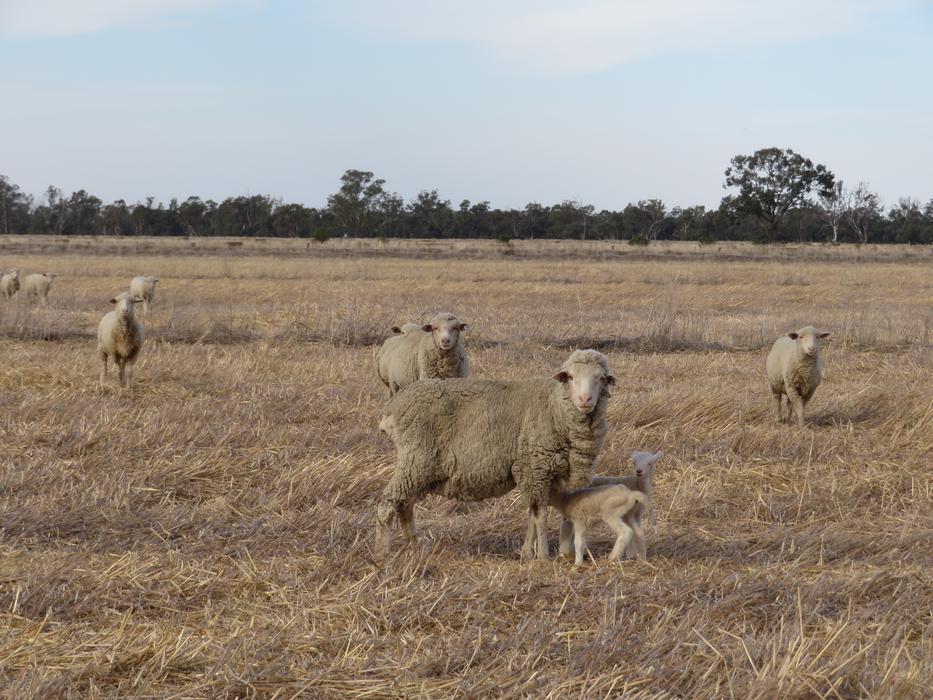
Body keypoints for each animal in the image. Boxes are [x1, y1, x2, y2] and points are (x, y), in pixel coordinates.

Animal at [376, 349, 615, 560]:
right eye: (571, 377)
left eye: (601, 378)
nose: (585, 399)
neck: (555, 406)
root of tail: (391, 409)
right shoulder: (535, 467)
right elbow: (540, 514)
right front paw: (543, 556)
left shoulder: (539, 473)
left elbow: (532, 512)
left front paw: (528, 553)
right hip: (416, 461)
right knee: (388, 504)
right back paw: (383, 553)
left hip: (417, 467)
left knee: (404, 505)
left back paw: (414, 547)